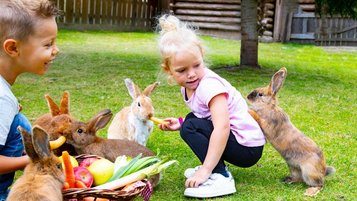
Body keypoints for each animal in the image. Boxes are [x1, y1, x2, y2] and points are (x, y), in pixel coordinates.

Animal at [246, 67, 336, 196]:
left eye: (260, 94)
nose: (247, 97)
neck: (268, 107)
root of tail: (323, 171)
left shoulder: (269, 125)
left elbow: (259, 119)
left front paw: (250, 111)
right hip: (294, 167)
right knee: (299, 179)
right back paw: (287, 180)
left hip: (309, 172)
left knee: (319, 184)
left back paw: (309, 192)